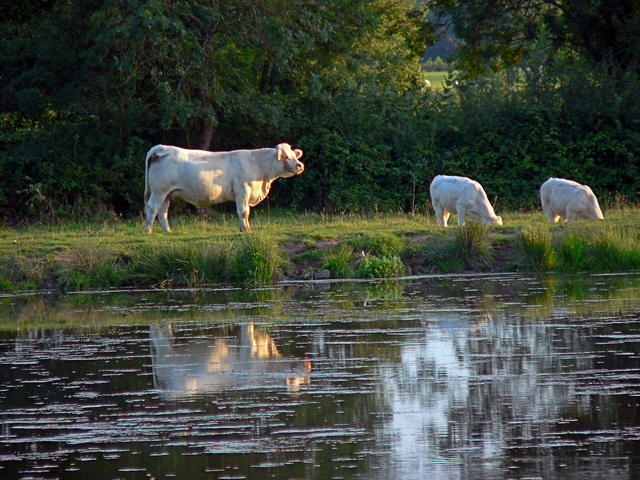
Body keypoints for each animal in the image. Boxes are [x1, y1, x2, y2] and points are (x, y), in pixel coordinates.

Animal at [145, 142, 304, 232]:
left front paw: (245, 228)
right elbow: (243, 212)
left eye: (294, 155)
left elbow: (246, 212)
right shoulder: (243, 191)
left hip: (167, 194)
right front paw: (246, 230)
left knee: (162, 212)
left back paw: (168, 232)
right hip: (159, 191)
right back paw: (148, 231)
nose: (300, 165)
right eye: (286, 157)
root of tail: (164, 148)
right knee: (152, 209)